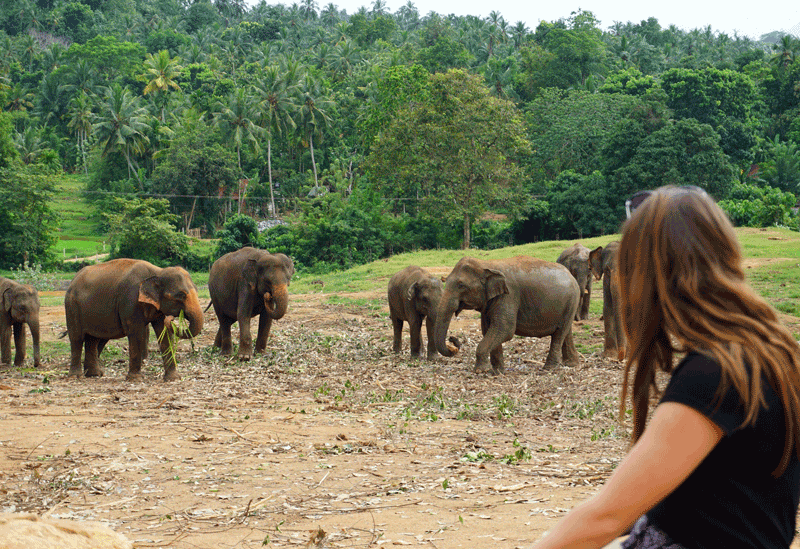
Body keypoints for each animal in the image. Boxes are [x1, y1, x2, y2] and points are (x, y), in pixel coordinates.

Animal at [64, 258, 205, 382]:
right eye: (181, 295)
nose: (172, 318)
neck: (157, 272)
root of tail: (73, 280)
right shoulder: (130, 301)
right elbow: (135, 333)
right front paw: (135, 379)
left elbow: (164, 334)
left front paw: (173, 379)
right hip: (72, 306)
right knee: (76, 338)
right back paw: (76, 376)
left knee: (92, 339)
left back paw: (94, 375)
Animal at [434, 256, 580, 372]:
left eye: (461, 285)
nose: (452, 339)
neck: (486, 264)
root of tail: (572, 276)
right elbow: (489, 329)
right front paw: (498, 371)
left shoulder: (509, 295)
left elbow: (505, 328)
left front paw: (480, 371)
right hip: (569, 304)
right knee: (566, 332)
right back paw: (571, 364)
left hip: (572, 300)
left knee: (559, 334)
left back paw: (549, 368)